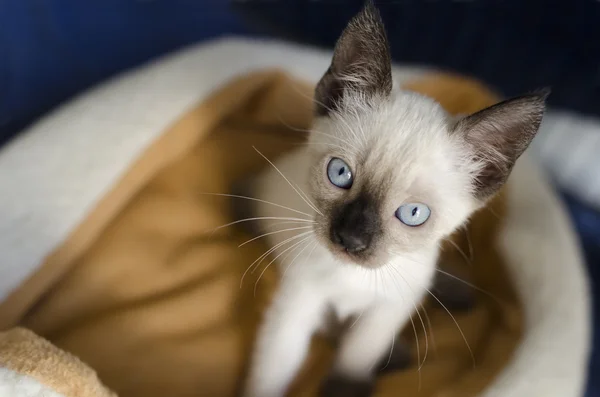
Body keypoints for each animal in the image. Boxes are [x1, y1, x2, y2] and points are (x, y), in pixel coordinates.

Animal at [241, 1, 548, 394]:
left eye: (413, 213)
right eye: (340, 174)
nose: (350, 240)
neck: (353, 279)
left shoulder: (388, 309)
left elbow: (358, 354)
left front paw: (346, 386)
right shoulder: (298, 302)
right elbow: (275, 370)